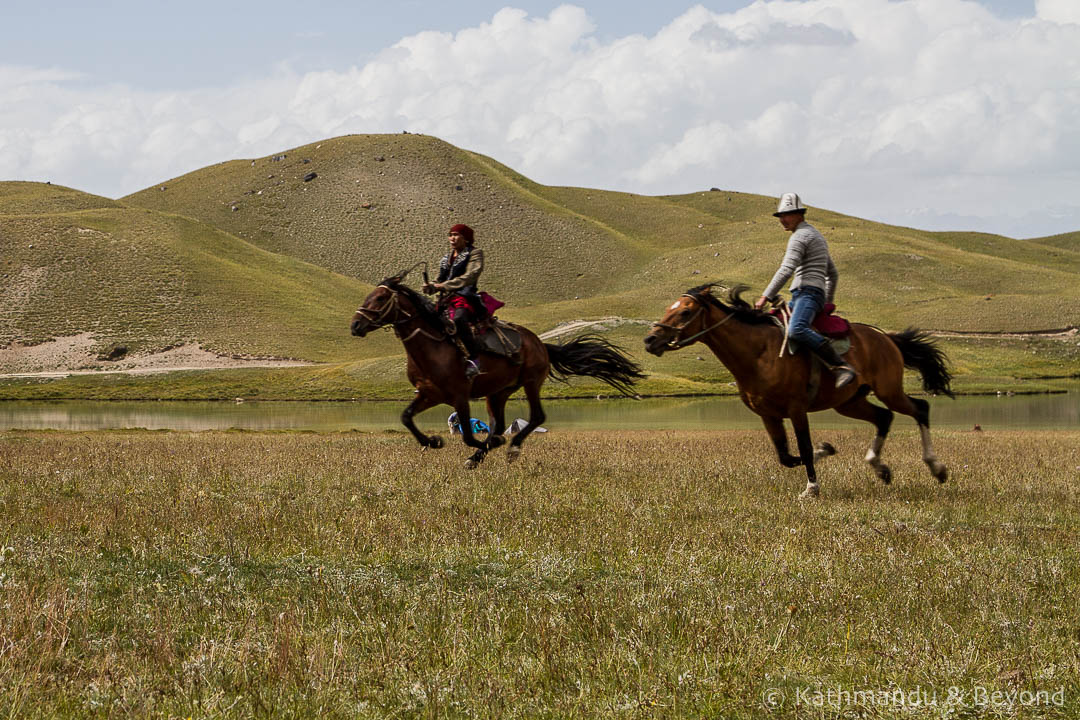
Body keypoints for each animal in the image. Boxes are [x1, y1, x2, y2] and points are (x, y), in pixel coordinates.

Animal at [352, 273, 639, 470]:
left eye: (380, 298)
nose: (355, 325)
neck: (431, 347)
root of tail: (539, 343)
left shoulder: (459, 396)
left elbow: (468, 435)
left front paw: (489, 446)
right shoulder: (429, 395)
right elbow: (406, 417)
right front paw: (433, 442)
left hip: (531, 382)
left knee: (536, 417)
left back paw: (509, 449)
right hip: (498, 392)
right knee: (499, 424)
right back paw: (481, 455)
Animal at [639, 284, 954, 498]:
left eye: (685, 311)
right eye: (669, 308)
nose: (650, 339)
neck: (758, 354)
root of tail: (886, 337)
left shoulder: (796, 409)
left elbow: (802, 447)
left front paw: (812, 487)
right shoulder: (768, 415)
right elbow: (785, 456)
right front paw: (826, 449)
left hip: (889, 391)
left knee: (919, 409)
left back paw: (936, 468)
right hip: (850, 402)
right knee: (884, 418)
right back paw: (880, 467)